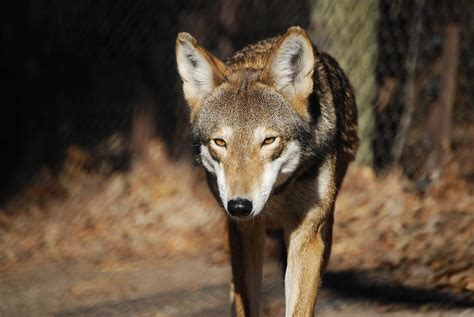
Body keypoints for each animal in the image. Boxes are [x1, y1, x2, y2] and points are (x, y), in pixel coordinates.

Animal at [176, 25, 358, 314]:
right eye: (220, 142)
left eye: (269, 140)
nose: (240, 206)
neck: (278, 195)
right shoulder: (244, 232)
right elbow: (246, 304)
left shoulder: (307, 234)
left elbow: (299, 307)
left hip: (325, 231)